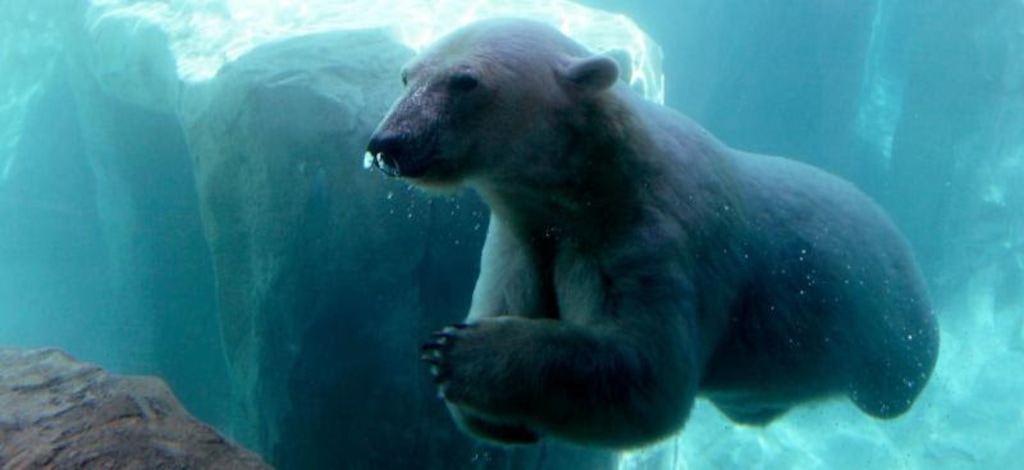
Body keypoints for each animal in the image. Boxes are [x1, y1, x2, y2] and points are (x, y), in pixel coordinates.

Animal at [364, 18, 939, 450]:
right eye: (406, 76)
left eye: (466, 82)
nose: (388, 143)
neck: (597, 182)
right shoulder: (522, 236)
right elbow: (510, 295)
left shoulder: (650, 240)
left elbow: (646, 376)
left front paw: (461, 353)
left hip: (890, 319)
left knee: (899, 378)